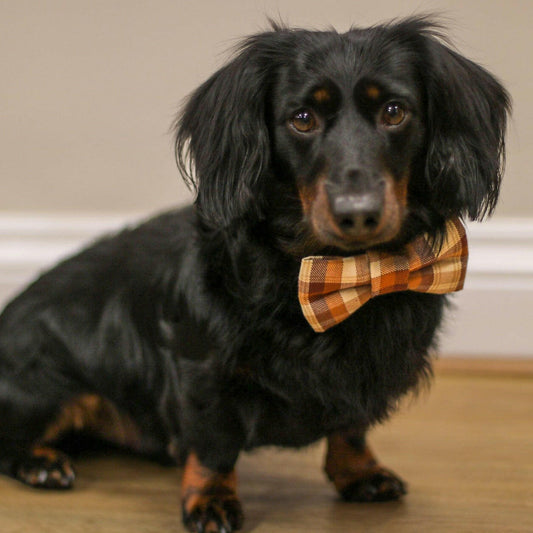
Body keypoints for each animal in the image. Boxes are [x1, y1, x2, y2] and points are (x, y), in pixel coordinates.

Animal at [0, 16, 508, 532]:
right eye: (302, 118)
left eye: (394, 111)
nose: (358, 213)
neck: (340, 272)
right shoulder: (206, 372)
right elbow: (214, 445)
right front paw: (210, 500)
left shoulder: (361, 375)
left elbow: (351, 428)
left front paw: (360, 473)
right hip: (46, 384)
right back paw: (42, 463)